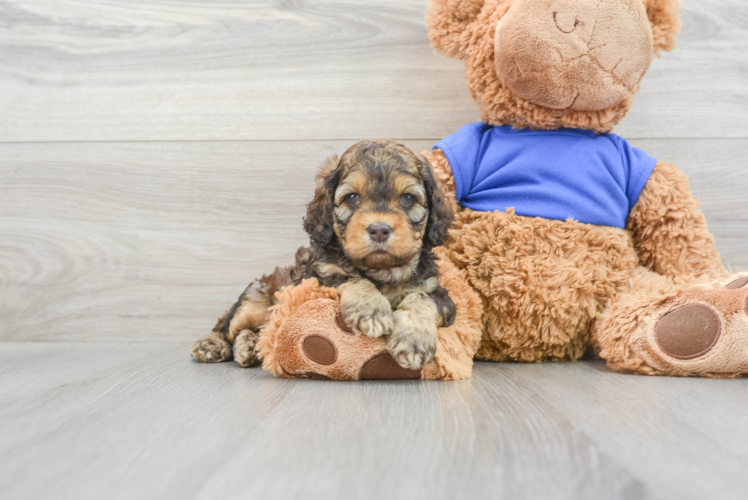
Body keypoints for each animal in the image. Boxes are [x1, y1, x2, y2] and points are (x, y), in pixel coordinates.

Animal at [191, 139, 456, 370]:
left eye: (408, 198)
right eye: (352, 197)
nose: (379, 230)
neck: (380, 270)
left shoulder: (438, 293)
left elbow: (421, 298)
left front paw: (413, 341)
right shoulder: (317, 278)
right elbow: (352, 278)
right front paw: (371, 310)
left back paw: (249, 345)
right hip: (254, 297)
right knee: (228, 325)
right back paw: (212, 344)